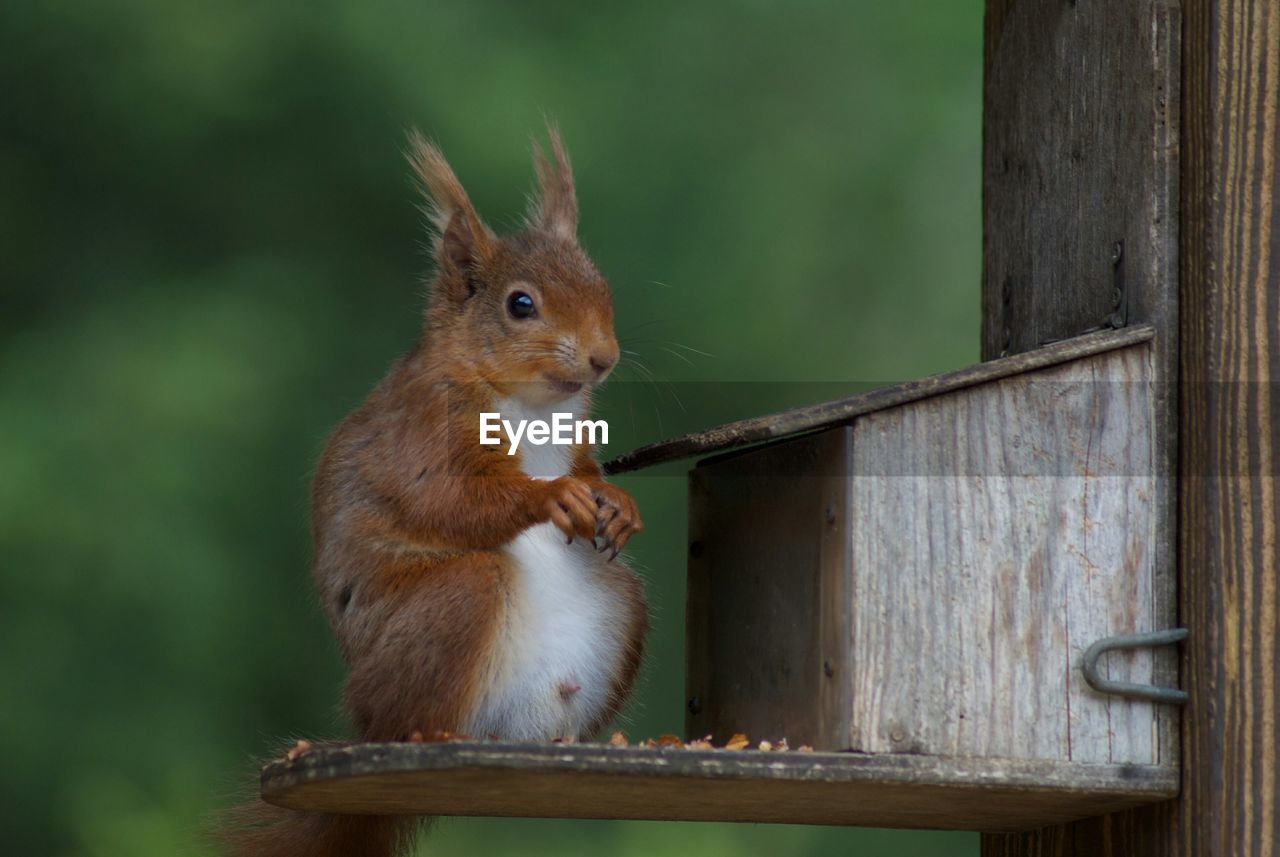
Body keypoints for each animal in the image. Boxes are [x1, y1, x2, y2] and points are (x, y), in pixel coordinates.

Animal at [218, 127, 650, 857]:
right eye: (520, 304)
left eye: (604, 287)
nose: (603, 358)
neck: (531, 403)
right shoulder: (423, 432)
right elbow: (446, 501)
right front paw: (550, 495)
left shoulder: (576, 437)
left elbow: (588, 473)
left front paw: (617, 502)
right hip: (445, 613)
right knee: (422, 695)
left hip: (620, 606)